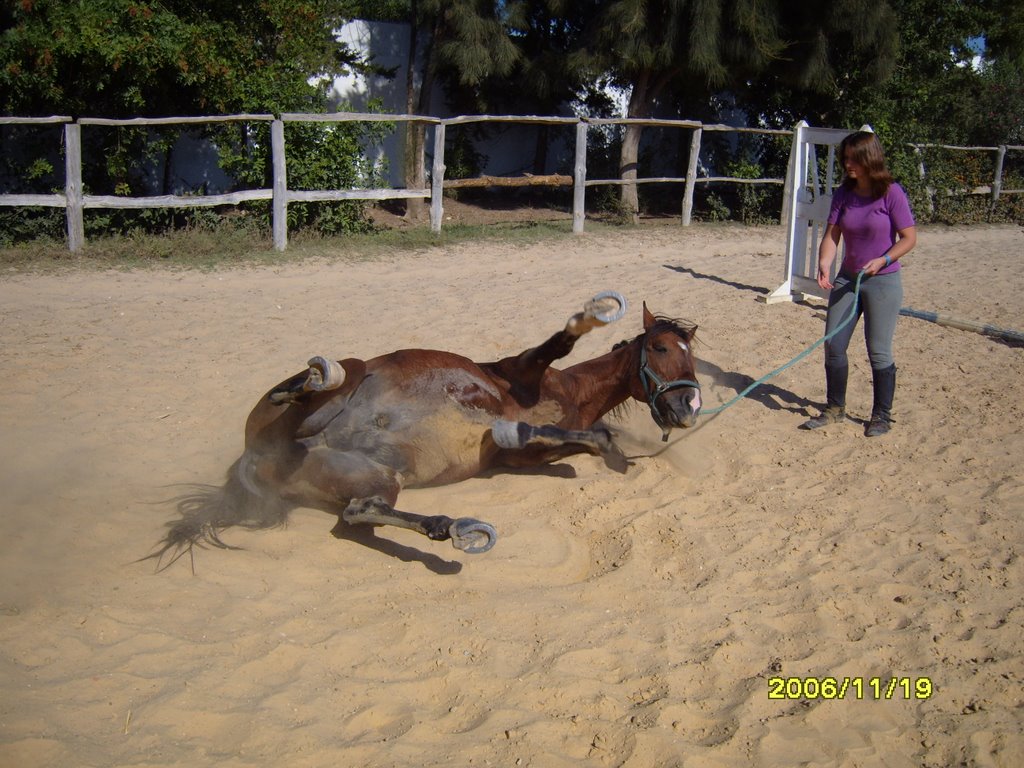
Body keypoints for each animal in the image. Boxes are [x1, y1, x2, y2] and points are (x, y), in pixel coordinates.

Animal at [148, 290, 700, 569]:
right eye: (660, 348)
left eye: (692, 354)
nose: (689, 406)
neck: (569, 392)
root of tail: (255, 461)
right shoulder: (520, 370)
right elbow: (559, 345)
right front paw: (593, 315)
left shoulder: (522, 456)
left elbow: (568, 441)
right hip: (328, 391)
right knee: (311, 393)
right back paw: (321, 374)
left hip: (375, 477)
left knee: (360, 511)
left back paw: (452, 528)